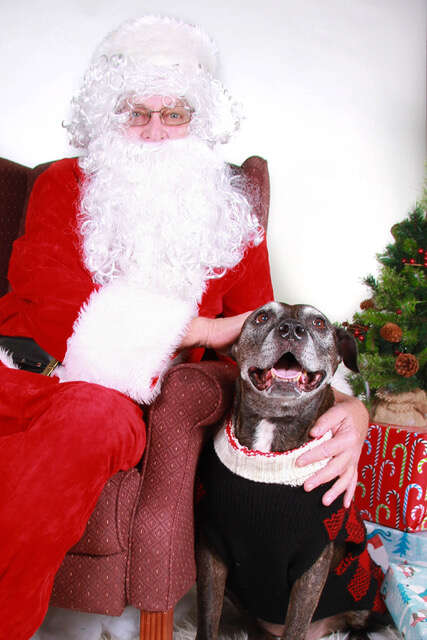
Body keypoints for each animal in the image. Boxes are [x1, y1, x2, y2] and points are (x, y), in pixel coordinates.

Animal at [197, 302, 388, 640]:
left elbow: (296, 626)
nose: (291, 330)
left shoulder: (312, 565)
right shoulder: (212, 550)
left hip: (361, 591)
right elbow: (208, 619)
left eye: (319, 323)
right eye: (262, 316)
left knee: (359, 623)